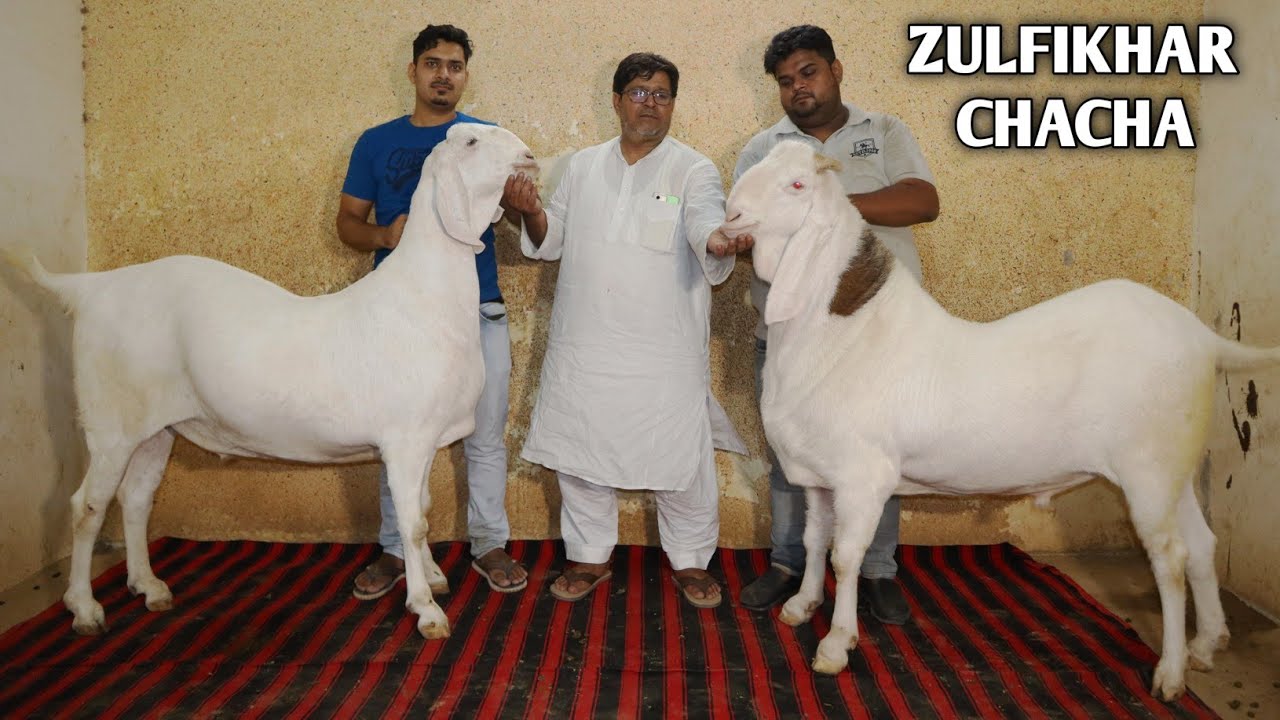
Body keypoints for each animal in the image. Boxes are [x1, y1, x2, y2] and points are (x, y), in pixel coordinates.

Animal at [4, 123, 537, 641]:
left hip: (156, 429)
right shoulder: (406, 440)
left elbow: (422, 510)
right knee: (87, 507)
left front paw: (432, 578)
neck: (423, 297)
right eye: (470, 139)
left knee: (135, 499)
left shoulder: (423, 441)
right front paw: (426, 608)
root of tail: (90, 288)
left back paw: (150, 586)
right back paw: (85, 608)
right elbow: (414, 523)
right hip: (111, 423)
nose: (529, 156)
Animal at [720, 140, 1280, 701]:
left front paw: (836, 645)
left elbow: (846, 556)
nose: (732, 213)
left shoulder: (863, 477)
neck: (844, 334)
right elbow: (815, 540)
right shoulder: (817, 477)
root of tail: (1204, 338)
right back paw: (1207, 644)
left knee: (1170, 560)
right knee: (1202, 546)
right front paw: (801, 606)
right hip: (1174, 469)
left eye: (797, 184)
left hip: (1147, 470)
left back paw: (1170, 673)